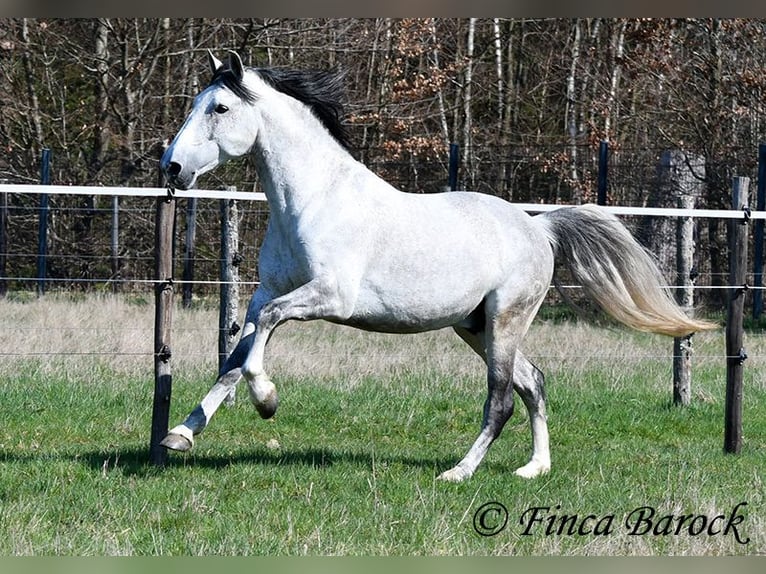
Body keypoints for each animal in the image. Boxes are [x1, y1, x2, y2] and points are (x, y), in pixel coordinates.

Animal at [159, 50, 715, 482]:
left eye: (220, 107)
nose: (172, 167)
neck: (315, 201)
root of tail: (538, 227)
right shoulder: (266, 290)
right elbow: (236, 354)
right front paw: (180, 435)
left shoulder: (329, 297)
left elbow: (262, 336)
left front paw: (268, 400)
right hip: (475, 325)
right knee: (533, 381)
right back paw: (534, 468)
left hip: (506, 320)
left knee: (502, 399)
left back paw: (459, 472)